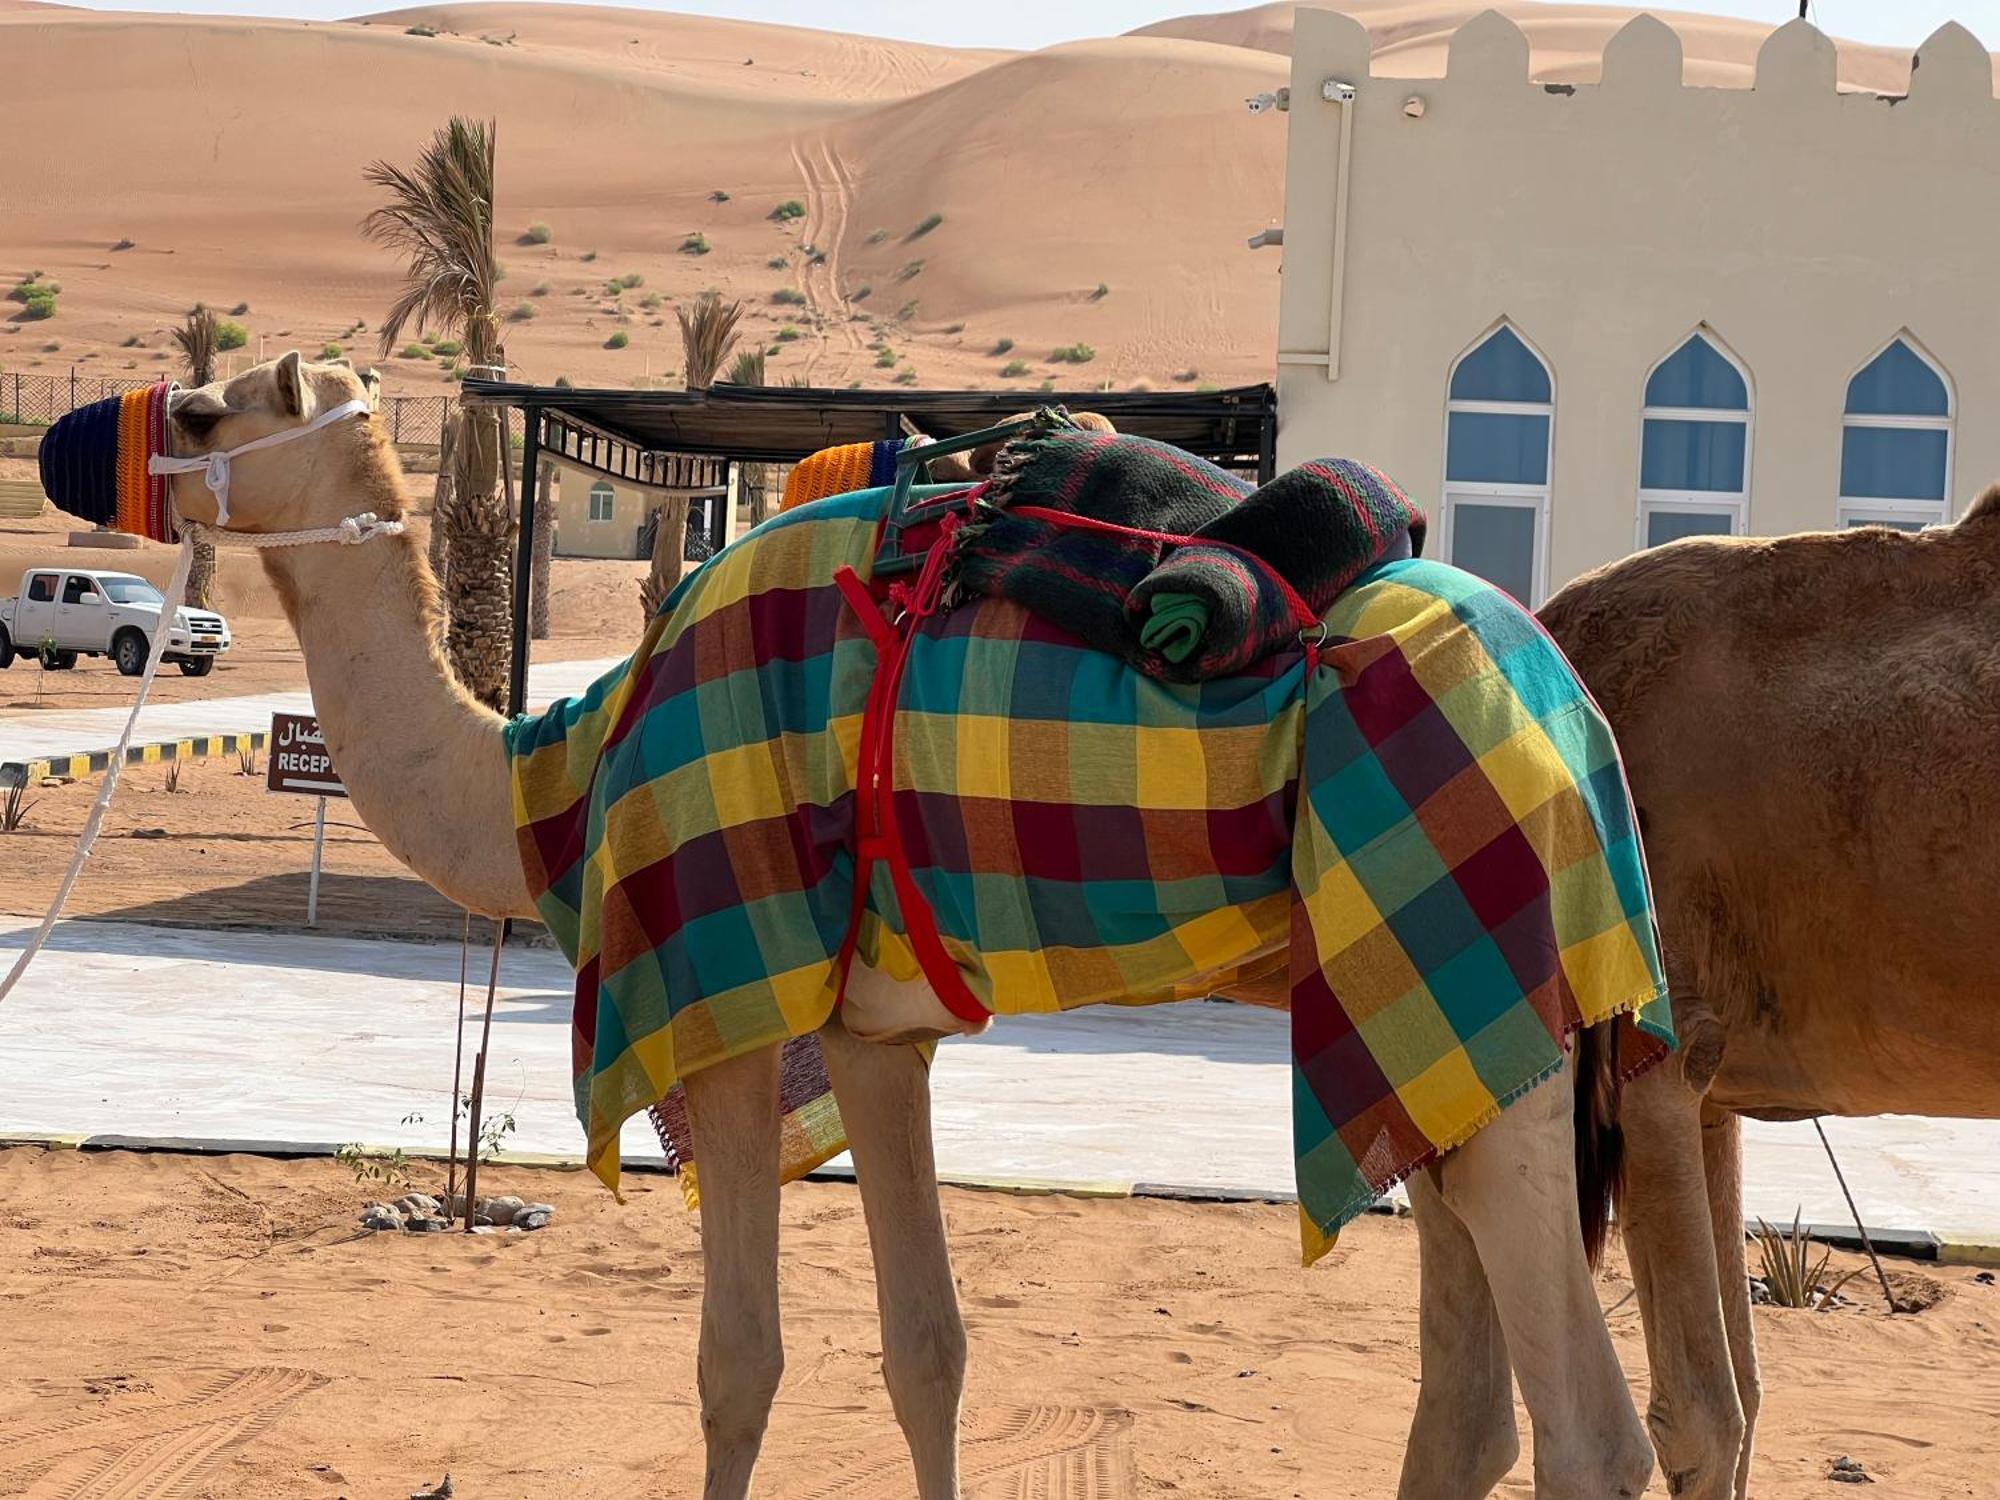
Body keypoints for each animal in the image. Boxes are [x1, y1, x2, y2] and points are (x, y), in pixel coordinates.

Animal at [137, 358, 1672, 1496]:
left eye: (207, 411)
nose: (125, 456)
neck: (542, 789)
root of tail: (1573, 712)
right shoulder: (875, 1035)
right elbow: (925, 1350)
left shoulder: (718, 997)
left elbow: (736, 1365)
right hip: (1438, 1032)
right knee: (1469, 1404)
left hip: (1469, 978)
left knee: (1593, 1437)